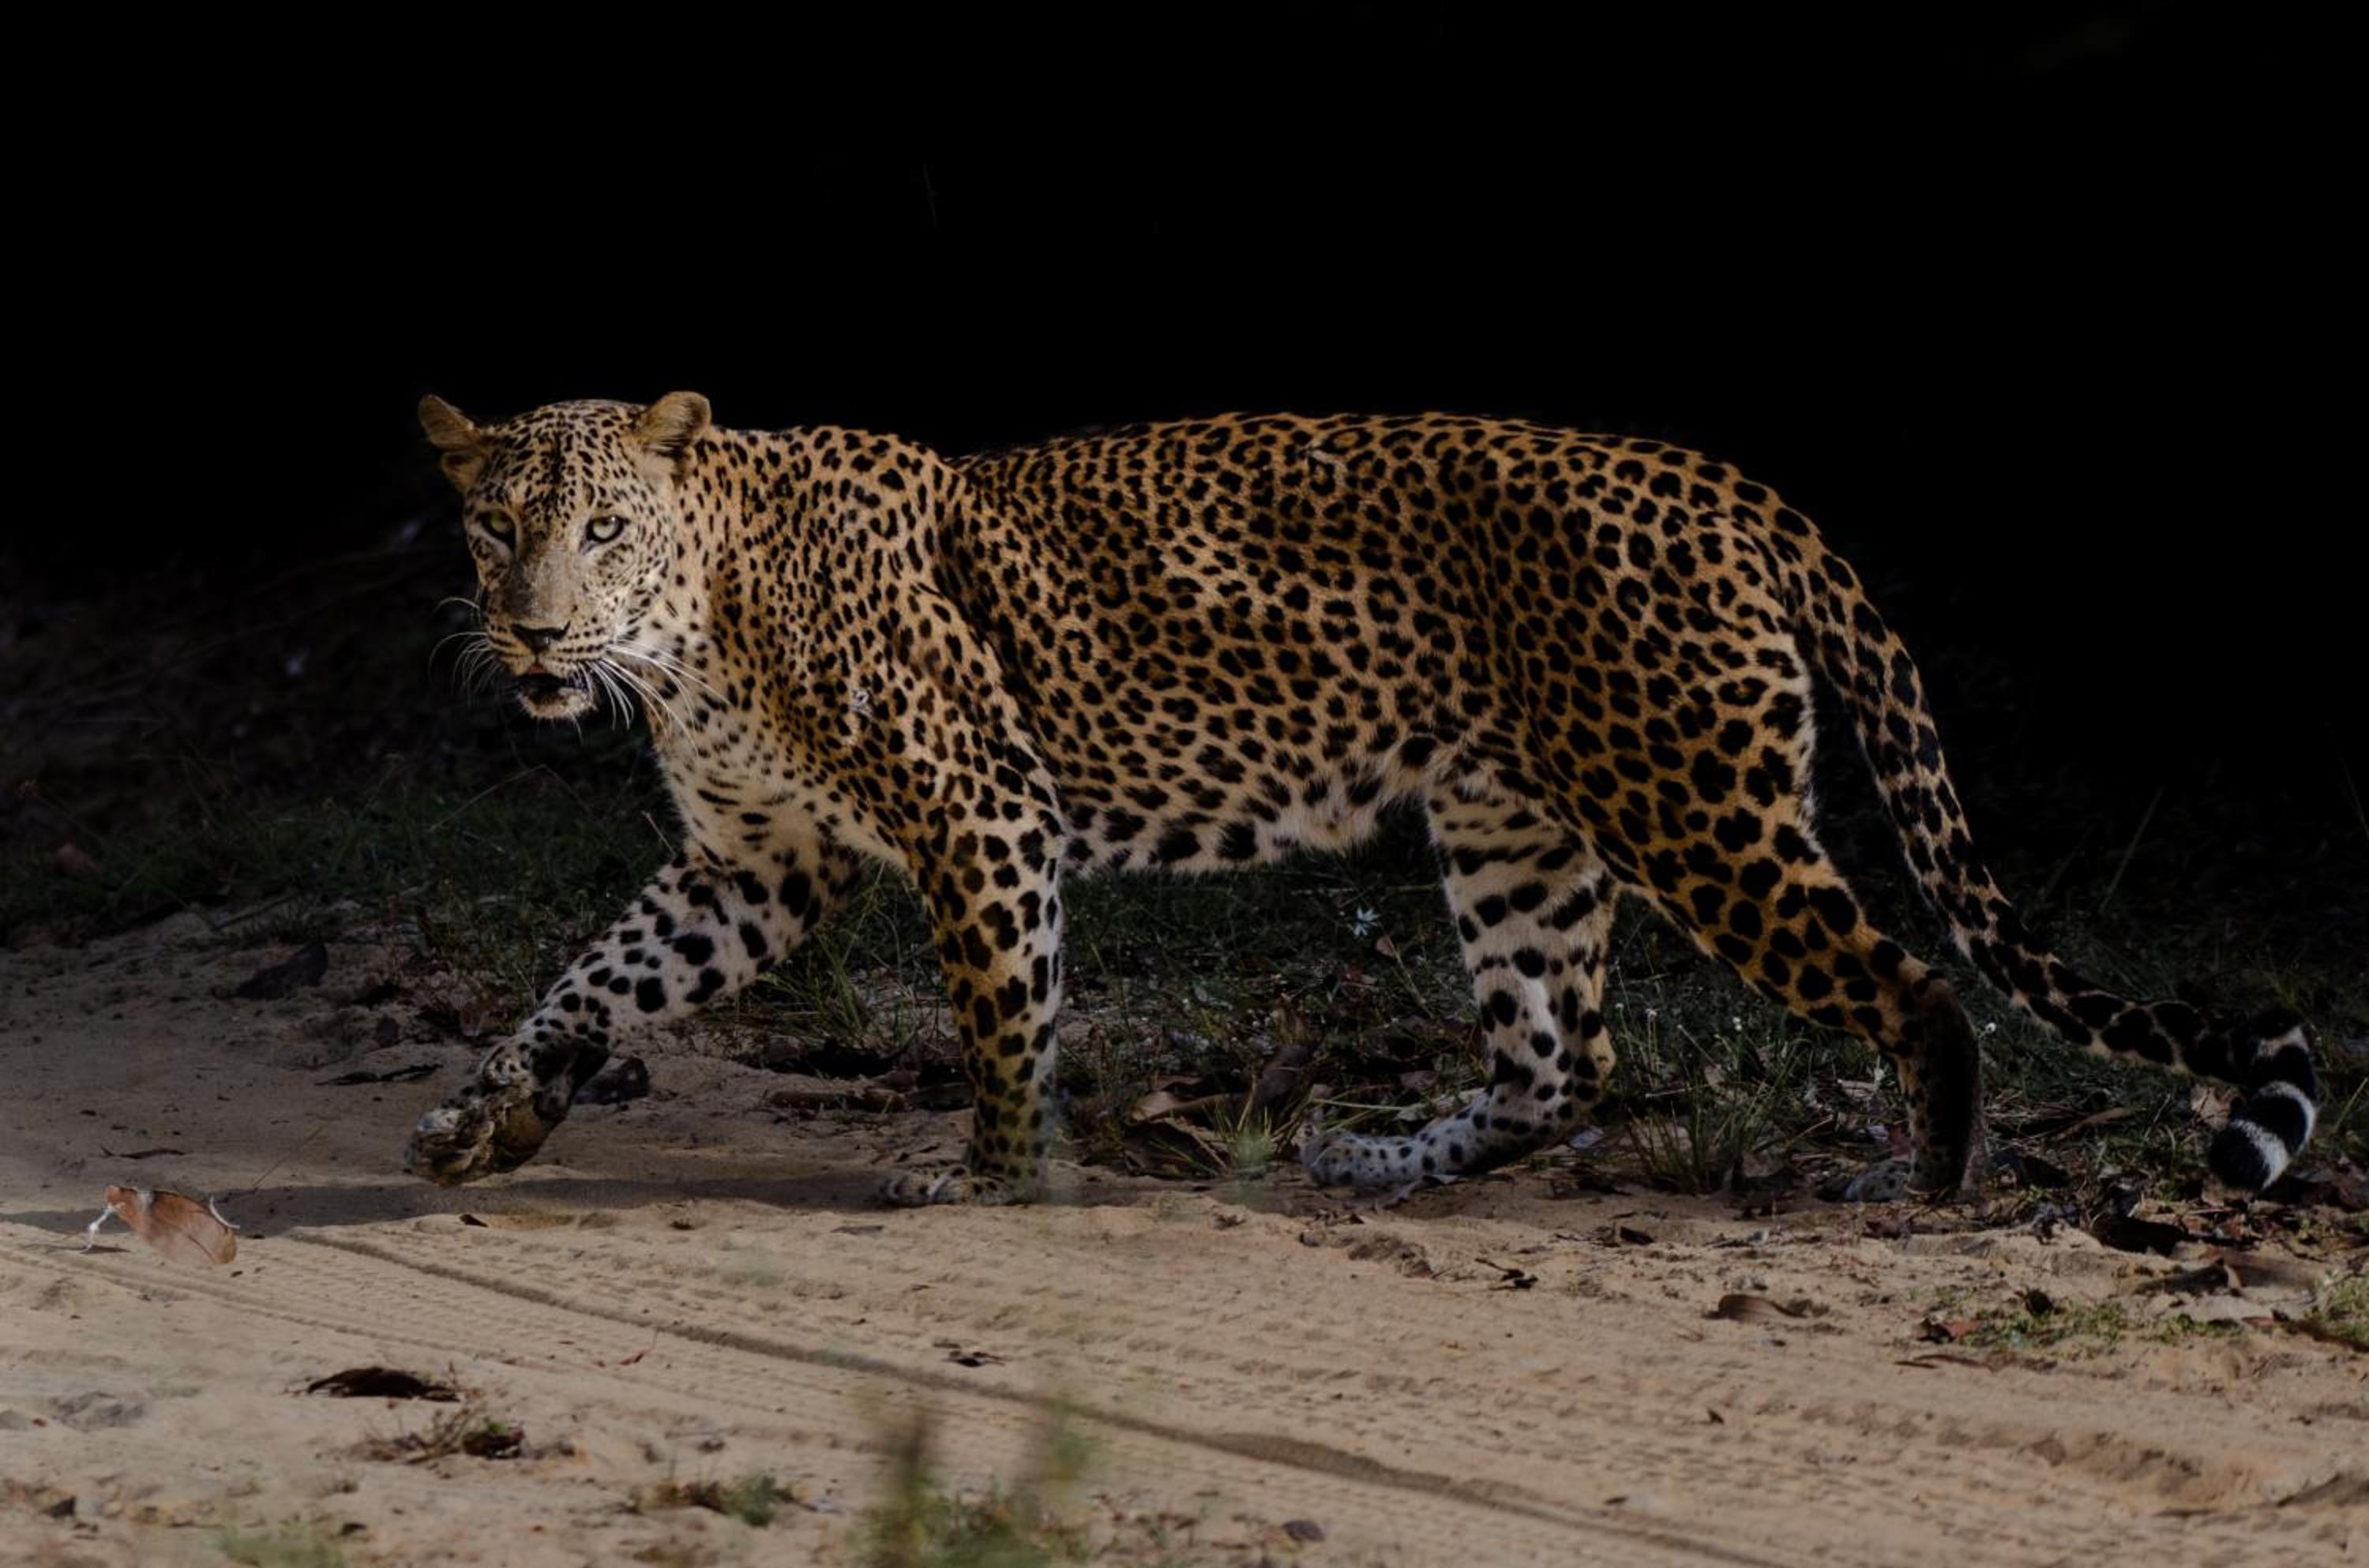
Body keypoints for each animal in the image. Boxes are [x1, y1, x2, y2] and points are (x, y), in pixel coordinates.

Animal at [404, 393, 2319, 1205]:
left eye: (604, 530)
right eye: (498, 527)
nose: (535, 629)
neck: (696, 633)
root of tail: (1731, 486)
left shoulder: (981, 815)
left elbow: (1005, 1017)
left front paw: (995, 1173)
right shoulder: (756, 865)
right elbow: (589, 981)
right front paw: (493, 1117)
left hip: (1699, 812)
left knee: (1917, 988)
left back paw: (1916, 1186)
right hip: (1516, 833)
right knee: (1564, 1062)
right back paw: (1388, 1157)